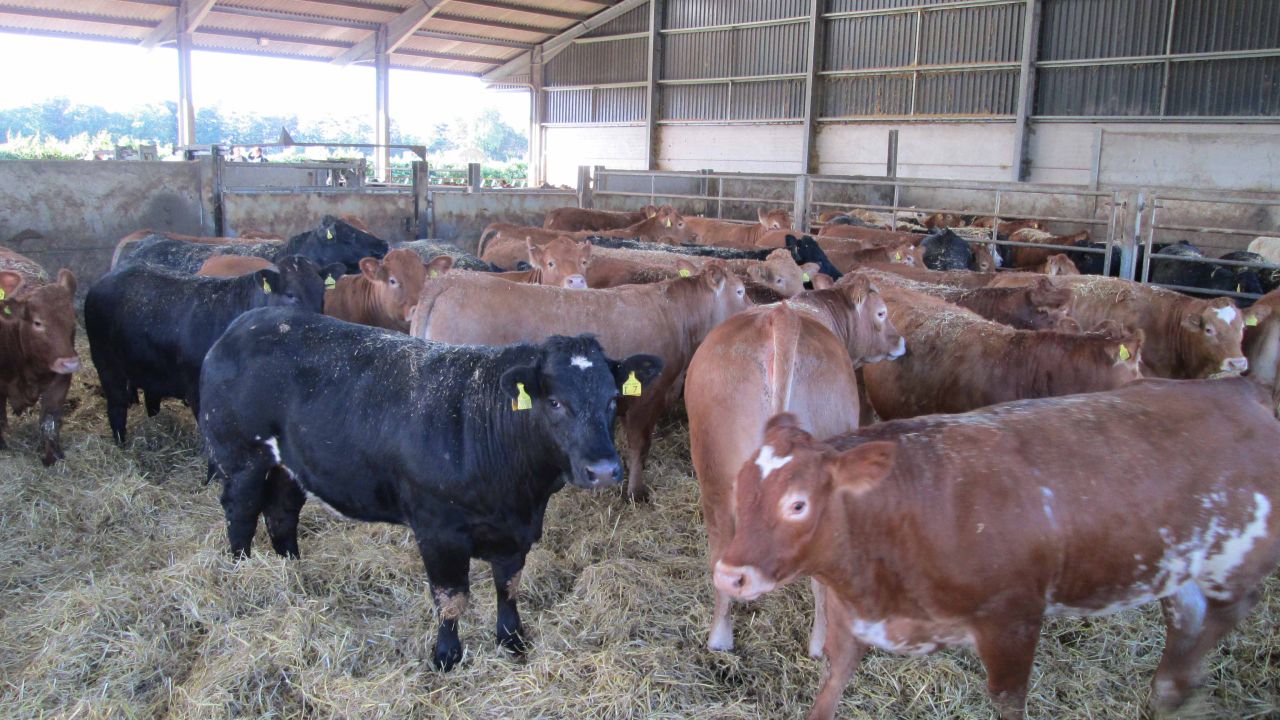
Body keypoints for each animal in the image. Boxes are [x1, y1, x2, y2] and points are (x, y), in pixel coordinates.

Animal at [0, 248, 79, 466]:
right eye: (37, 323)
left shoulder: (59, 380)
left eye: (73, 318)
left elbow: (49, 423)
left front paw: (53, 457)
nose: (70, 363)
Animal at [200, 310, 661, 670]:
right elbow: (451, 599)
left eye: (612, 398)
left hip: (289, 465)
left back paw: (292, 573)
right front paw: (447, 657)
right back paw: (244, 573)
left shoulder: (516, 531)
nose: (603, 470)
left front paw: (512, 641)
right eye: (555, 402)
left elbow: (508, 587)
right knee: (241, 513)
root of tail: (246, 322)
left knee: (281, 511)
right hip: (241, 456)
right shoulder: (438, 532)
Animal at [410, 266, 751, 501]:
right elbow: (640, 446)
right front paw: (636, 492)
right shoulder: (646, 398)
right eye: (739, 291)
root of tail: (450, 280)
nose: (752, 311)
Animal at [686, 275, 904, 655]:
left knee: (719, 555)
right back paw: (820, 645)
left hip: (714, 477)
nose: (900, 341)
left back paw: (719, 638)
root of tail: (781, 318)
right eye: (881, 312)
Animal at [714, 377, 1280, 720]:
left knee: (1231, 608)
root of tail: (1239, 388)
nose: (729, 575)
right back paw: (1166, 687)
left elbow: (1009, 702)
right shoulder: (852, 620)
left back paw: (1177, 685)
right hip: (1172, 562)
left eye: (798, 504)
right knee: (1187, 613)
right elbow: (828, 693)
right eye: (740, 485)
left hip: (1235, 557)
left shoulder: (1013, 622)